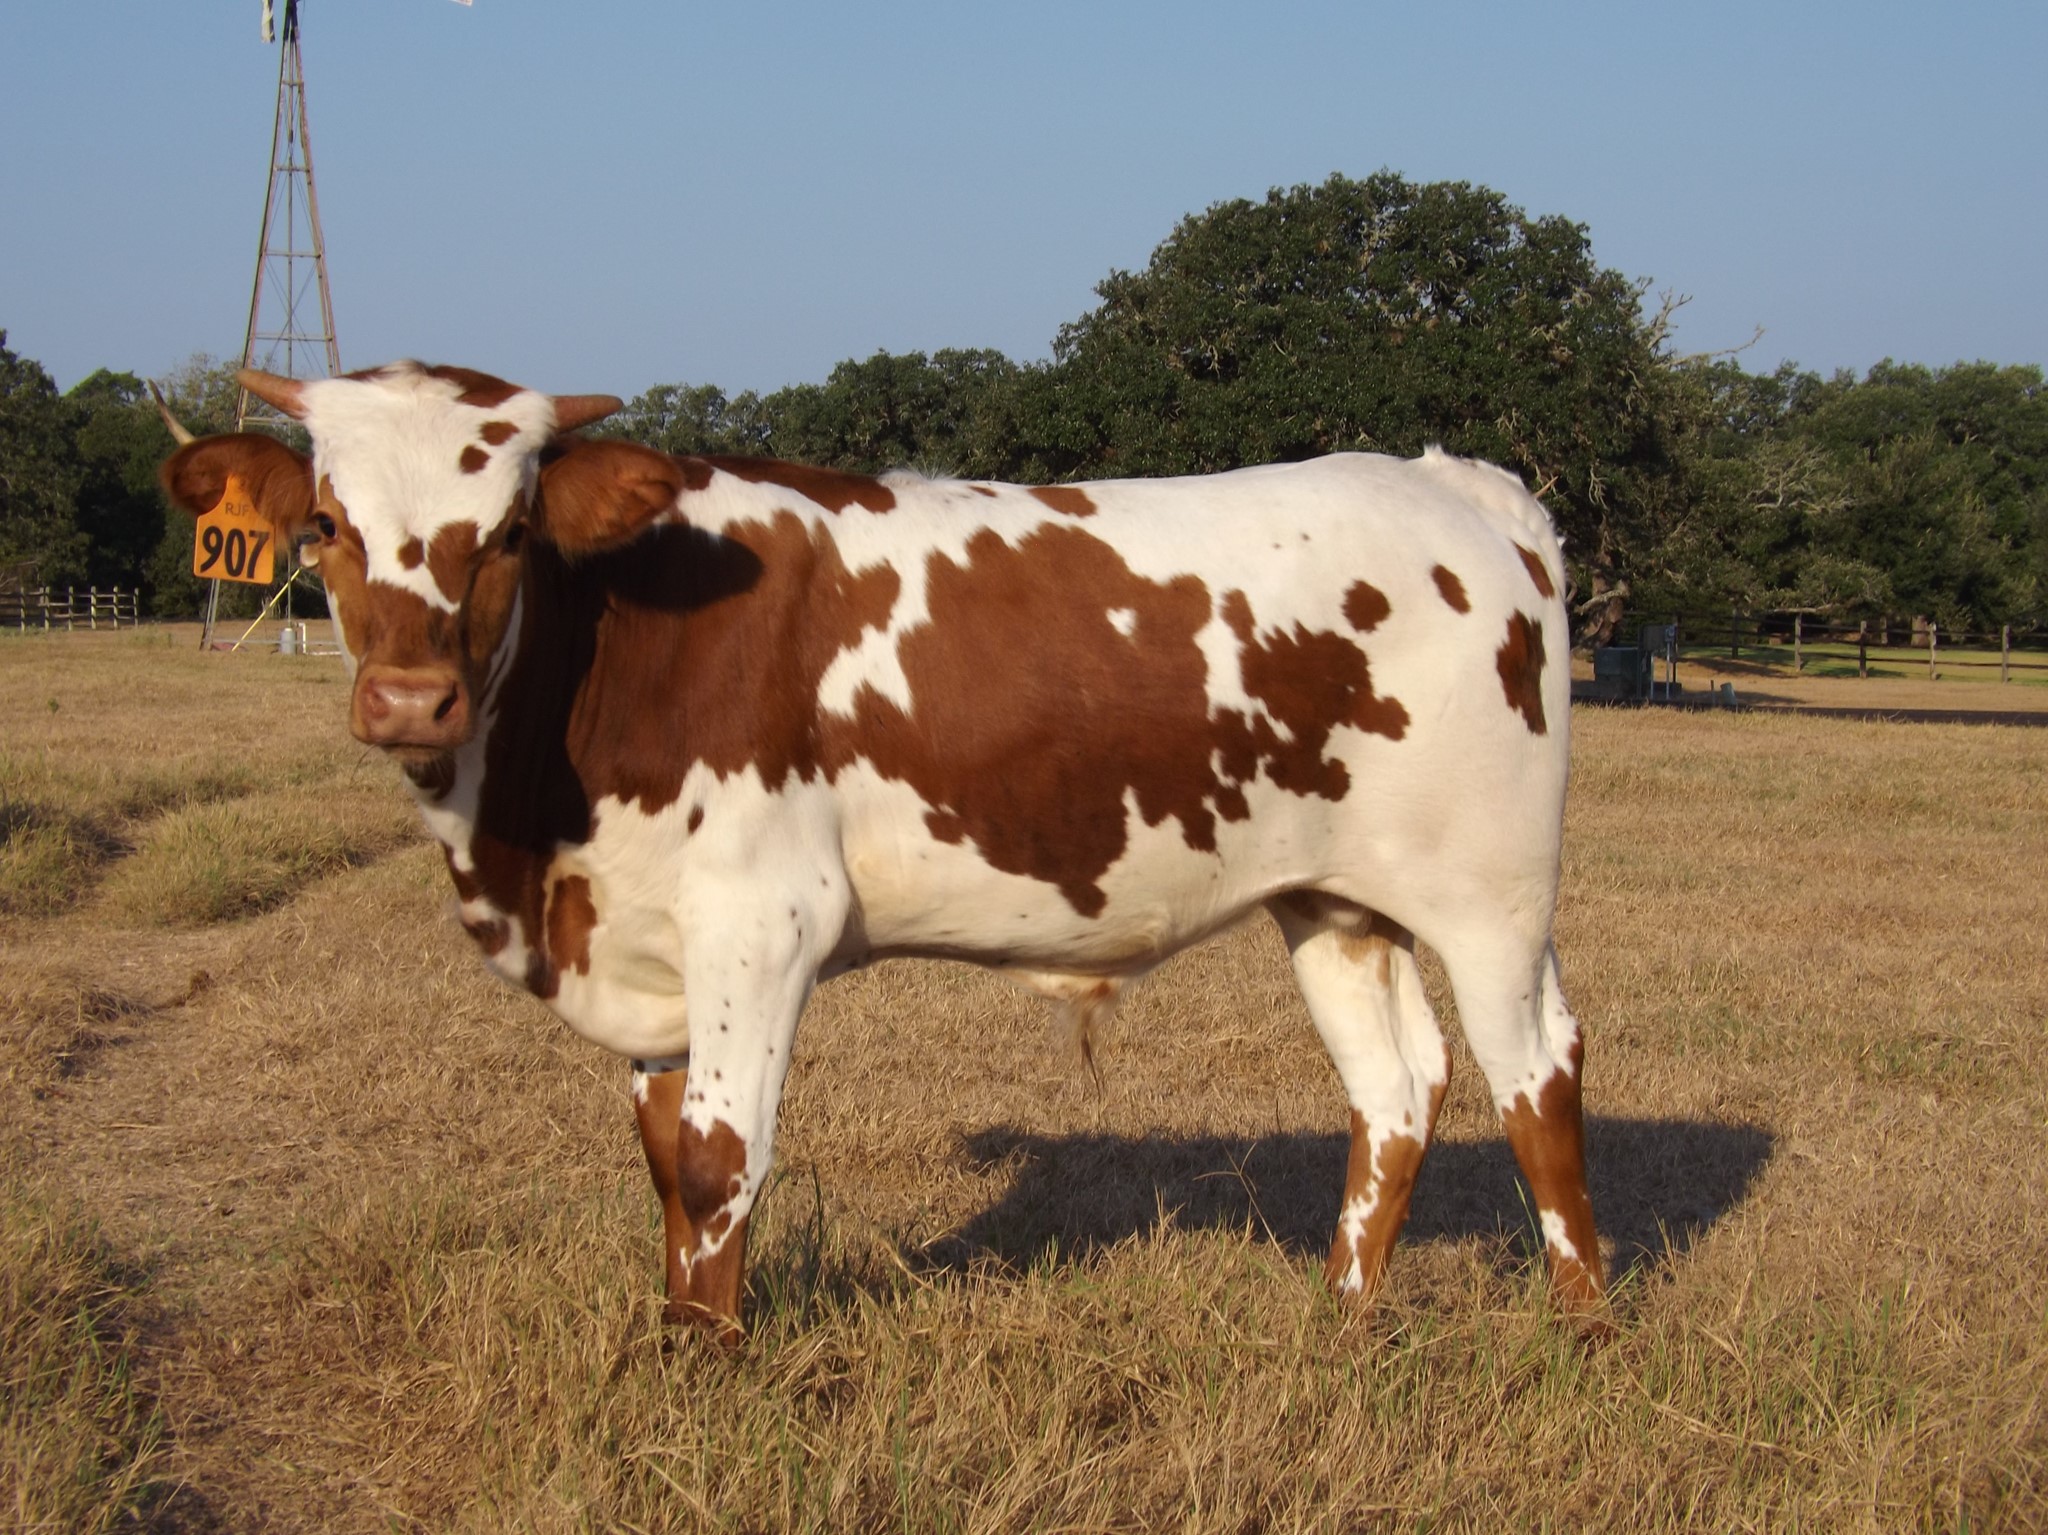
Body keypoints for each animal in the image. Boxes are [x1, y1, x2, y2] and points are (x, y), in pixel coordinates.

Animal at [159, 361, 1604, 1342]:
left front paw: (709, 1372)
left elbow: (720, 1157)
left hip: (1492, 893)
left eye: (509, 531)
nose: (410, 700)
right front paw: (676, 1342)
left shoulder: (760, 920)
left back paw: (1580, 1324)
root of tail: (1448, 481)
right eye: (326, 526)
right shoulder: (647, 938)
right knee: (1397, 1085)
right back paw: (1342, 1315)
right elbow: (664, 1163)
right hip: (1335, 900)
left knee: (1534, 1071)